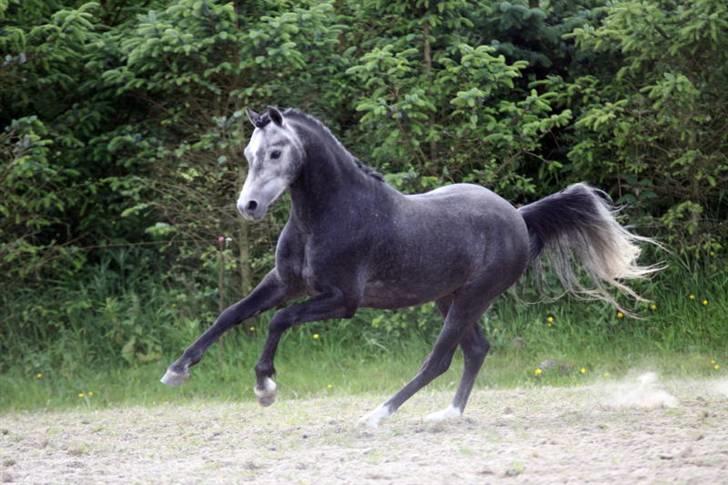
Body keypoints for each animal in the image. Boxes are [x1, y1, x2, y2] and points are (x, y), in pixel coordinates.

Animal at [161, 107, 657, 427]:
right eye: (249, 154)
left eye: (277, 153)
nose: (247, 207)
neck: (329, 213)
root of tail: (518, 217)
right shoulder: (285, 282)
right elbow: (232, 314)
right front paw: (177, 371)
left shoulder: (342, 301)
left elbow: (278, 321)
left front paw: (265, 387)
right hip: (449, 298)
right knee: (476, 350)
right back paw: (448, 414)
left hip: (472, 297)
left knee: (439, 359)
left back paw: (378, 415)